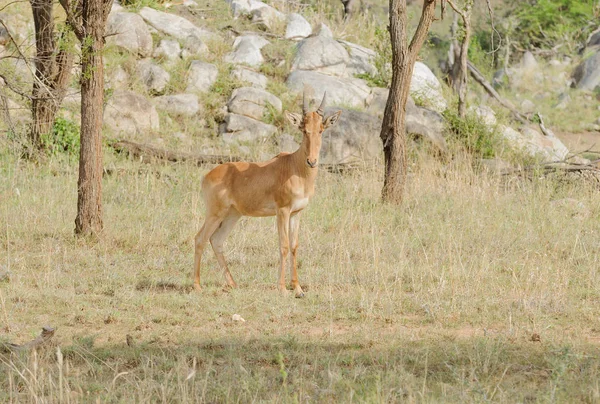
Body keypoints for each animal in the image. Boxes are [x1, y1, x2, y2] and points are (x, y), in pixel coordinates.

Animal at [195, 90, 340, 296]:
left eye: (321, 129)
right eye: (304, 129)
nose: (312, 161)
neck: (293, 166)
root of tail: (207, 175)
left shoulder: (296, 213)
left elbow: (294, 246)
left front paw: (298, 288)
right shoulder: (282, 211)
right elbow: (283, 245)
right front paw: (283, 289)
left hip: (232, 214)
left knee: (216, 240)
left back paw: (233, 284)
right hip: (215, 213)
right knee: (200, 238)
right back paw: (197, 285)